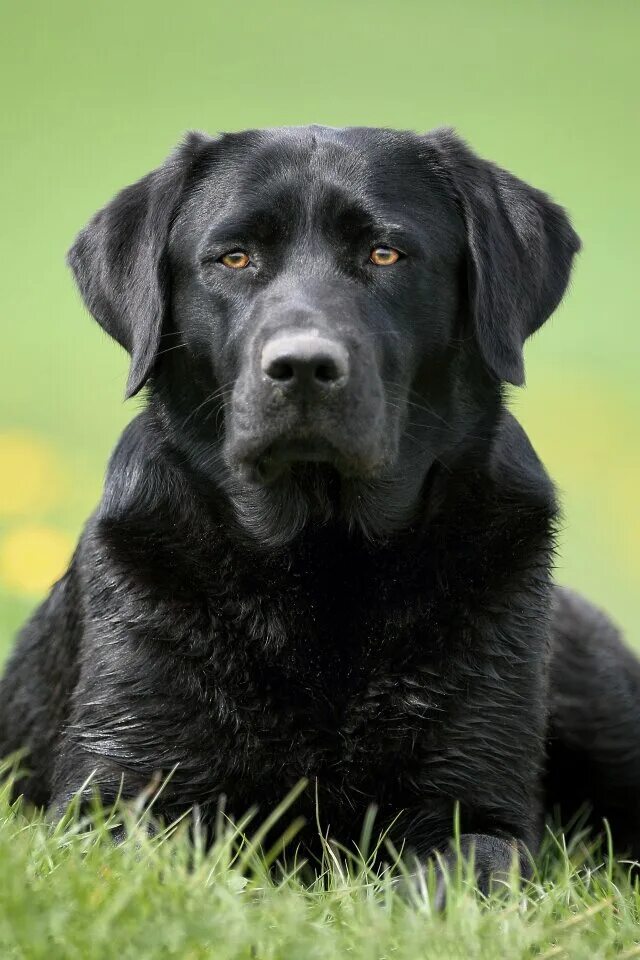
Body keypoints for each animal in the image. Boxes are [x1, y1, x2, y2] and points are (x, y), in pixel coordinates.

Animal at [1, 125, 640, 884]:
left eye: (384, 253)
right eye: (235, 257)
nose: (303, 366)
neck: (325, 555)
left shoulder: (479, 810)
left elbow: (449, 874)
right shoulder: (112, 800)